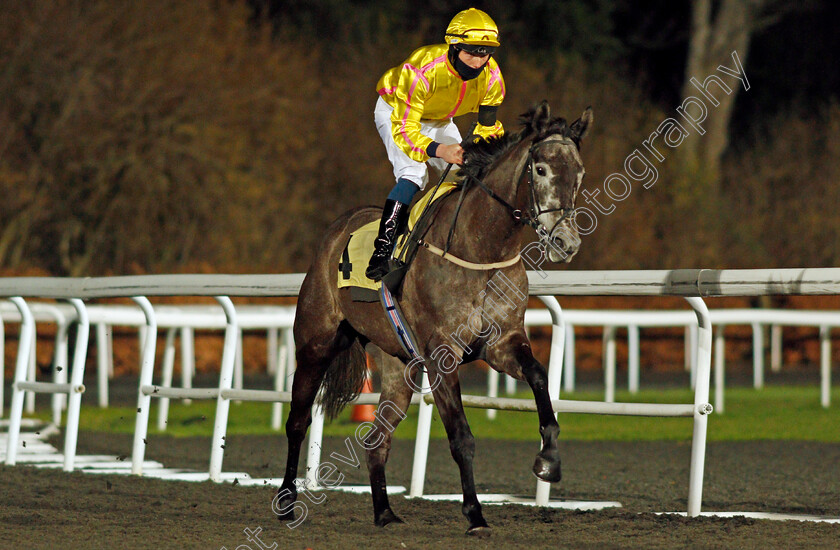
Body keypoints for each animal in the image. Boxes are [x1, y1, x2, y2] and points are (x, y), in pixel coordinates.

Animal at [276, 101, 592, 536]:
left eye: (579, 173)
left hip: (399, 366)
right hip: (316, 343)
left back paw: (385, 512)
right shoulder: (441, 353)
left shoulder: (501, 343)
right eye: (541, 169)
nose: (566, 242)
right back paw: (287, 503)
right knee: (298, 421)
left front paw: (549, 459)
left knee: (377, 439)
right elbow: (461, 437)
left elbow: (540, 376)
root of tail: (339, 228)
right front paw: (475, 514)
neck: (481, 249)